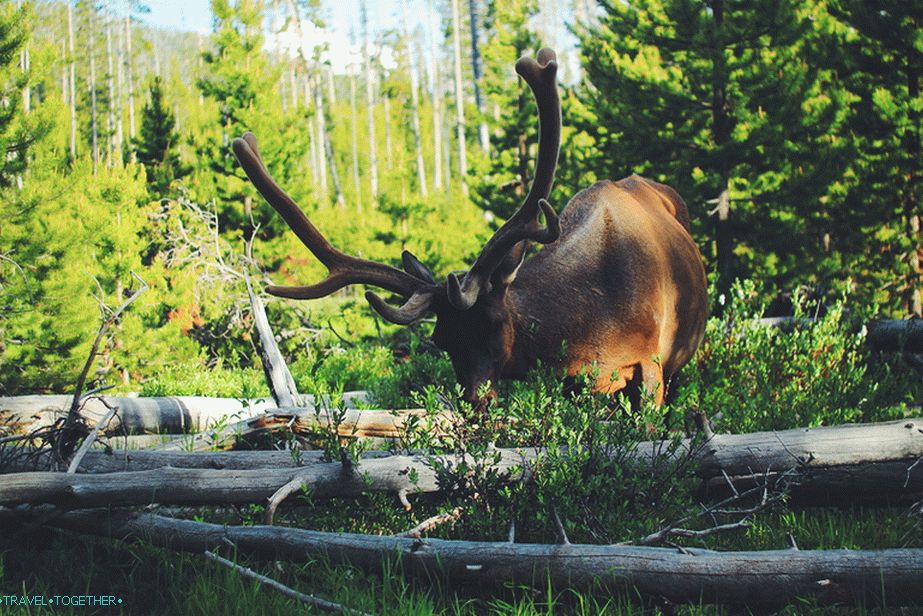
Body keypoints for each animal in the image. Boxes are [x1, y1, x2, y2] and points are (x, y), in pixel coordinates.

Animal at [231, 49, 708, 410]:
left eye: (495, 323)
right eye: (441, 337)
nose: (476, 402)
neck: (592, 327)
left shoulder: (651, 365)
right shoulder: (571, 380)